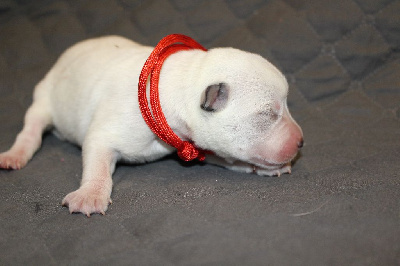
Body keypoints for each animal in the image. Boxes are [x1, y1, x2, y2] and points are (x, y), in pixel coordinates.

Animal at [0, 35, 304, 216]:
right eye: (268, 114)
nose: (302, 142)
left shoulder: (196, 141)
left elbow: (225, 156)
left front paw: (260, 167)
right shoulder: (106, 132)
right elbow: (98, 162)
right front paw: (91, 194)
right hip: (44, 98)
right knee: (31, 129)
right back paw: (16, 154)